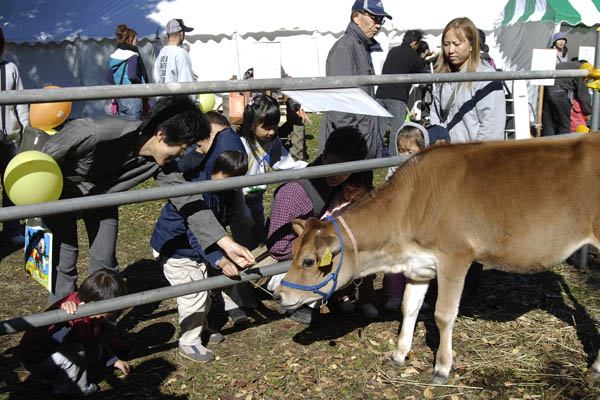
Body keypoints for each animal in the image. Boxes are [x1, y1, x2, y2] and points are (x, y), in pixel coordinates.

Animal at [274, 134, 600, 384]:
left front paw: (442, 367)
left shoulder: (455, 258)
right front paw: (399, 354)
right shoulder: (419, 265)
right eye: (293, 253)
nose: (279, 295)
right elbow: (409, 307)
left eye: (308, 261)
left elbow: (443, 315)